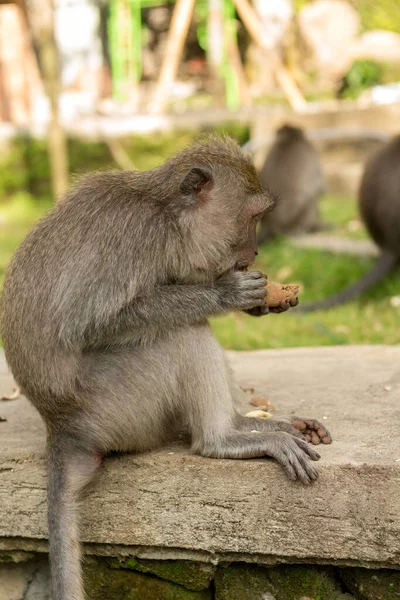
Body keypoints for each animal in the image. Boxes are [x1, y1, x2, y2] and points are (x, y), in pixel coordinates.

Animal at [0, 136, 332, 600]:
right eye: (252, 217)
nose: (254, 252)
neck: (169, 217)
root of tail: (61, 427)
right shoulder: (138, 237)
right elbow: (94, 322)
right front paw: (225, 294)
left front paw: (266, 301)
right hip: (118, 406)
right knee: (180, 332)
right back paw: (223, 439)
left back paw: (255, 423)